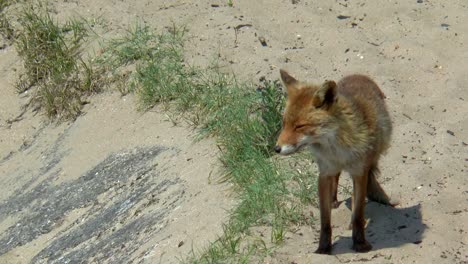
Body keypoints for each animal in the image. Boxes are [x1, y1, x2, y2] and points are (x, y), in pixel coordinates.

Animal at [274, 69, 398, 254]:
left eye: (299, 126)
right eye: (284, 124)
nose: (276, 148)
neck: (337, 151)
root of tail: (359, 75)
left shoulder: (359, 172)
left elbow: (358, 214)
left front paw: (360, 243)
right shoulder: (324, 173)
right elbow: (325, 220)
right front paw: (323, 248)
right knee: (337, 177)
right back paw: (333, 200)